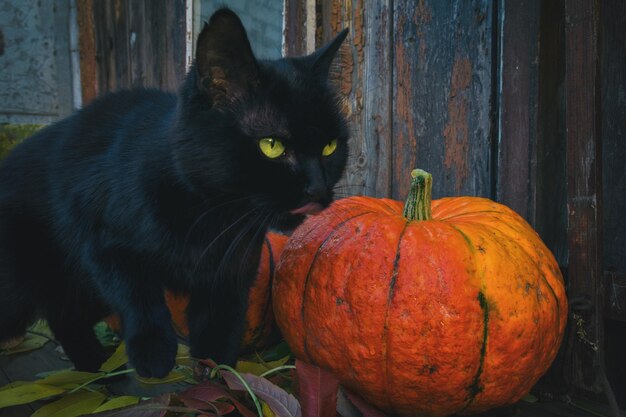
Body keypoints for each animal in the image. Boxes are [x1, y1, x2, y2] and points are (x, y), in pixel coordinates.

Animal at [0, 8, 346, 376]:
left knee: (65, 317)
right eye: (272, 145)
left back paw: (94, 365)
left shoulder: (230, 274)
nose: (317, 187)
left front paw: (217, 377)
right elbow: (138, 296)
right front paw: (154, 354)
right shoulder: (102, 243)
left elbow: (220, 331)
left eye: (330, 146)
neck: (211, 217)